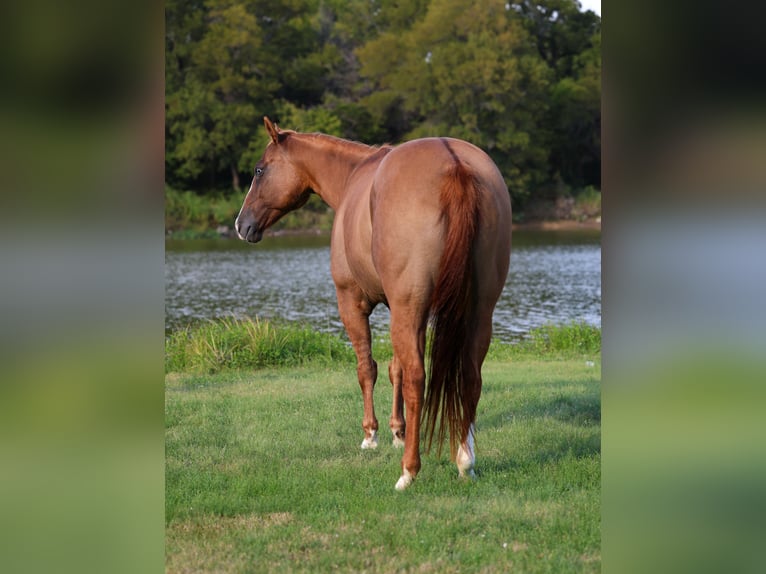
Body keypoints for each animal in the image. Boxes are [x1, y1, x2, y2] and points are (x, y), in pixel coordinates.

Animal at [236, 117, 512, 490]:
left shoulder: (353, 302)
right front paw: (398, 431)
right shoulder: (402, 309)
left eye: (259, 169)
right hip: (477, 311)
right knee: (469, 376)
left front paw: (372, 435)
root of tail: (455, 164)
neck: (353, 177)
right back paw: (465, 462)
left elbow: (368, 368)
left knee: (417, 378)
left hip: (411, 308)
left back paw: (409, 470)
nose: (241, 225)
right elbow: (395, 367)